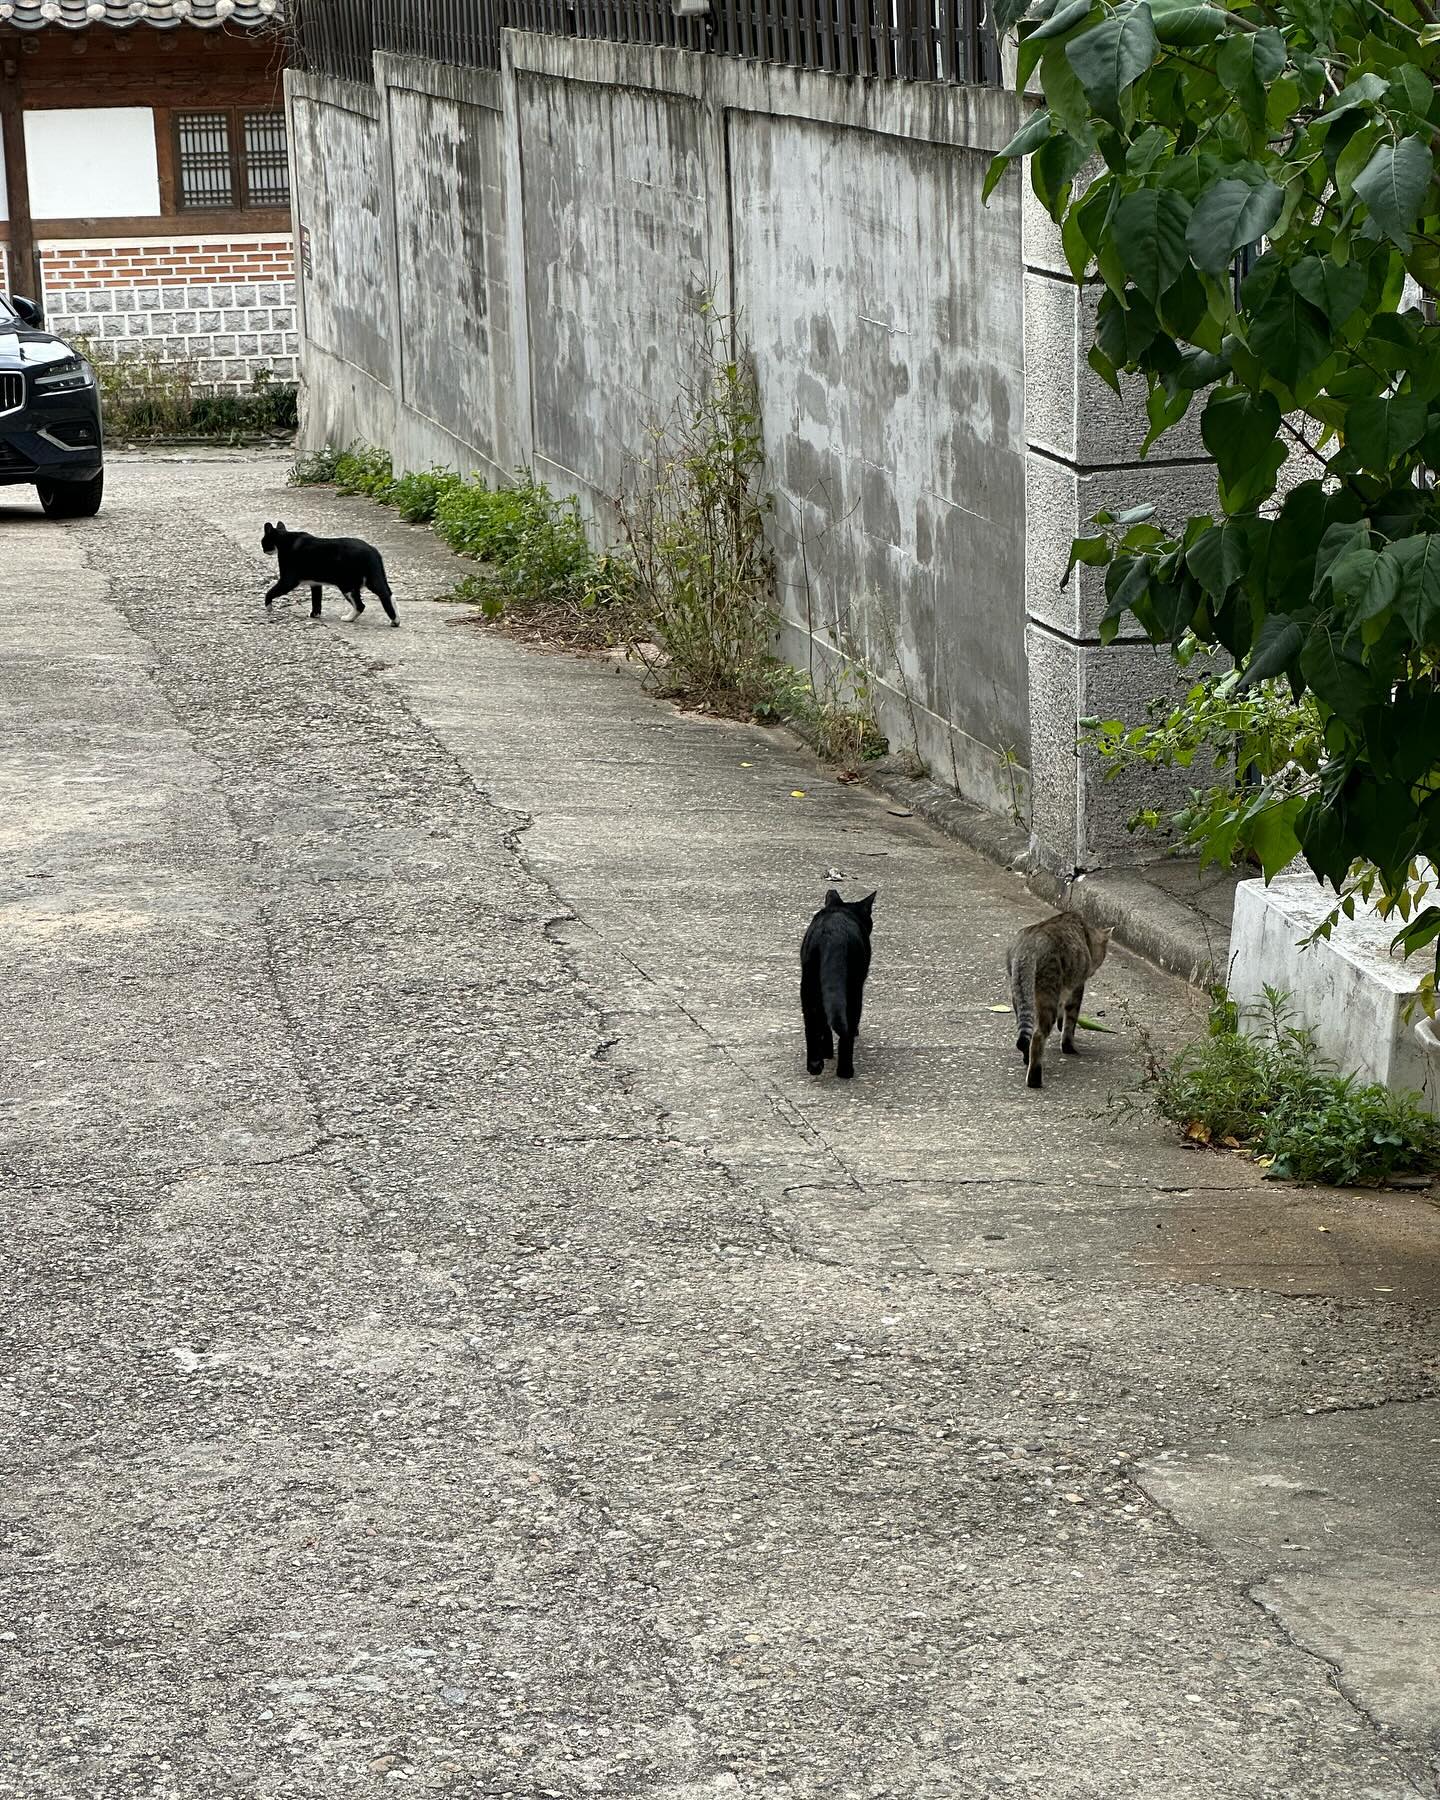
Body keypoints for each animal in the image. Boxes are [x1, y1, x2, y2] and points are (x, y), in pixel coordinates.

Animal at [799, 889, 878, 1072]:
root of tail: (833, 935)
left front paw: (826, 1053)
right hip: (854, 989)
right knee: (846, 1030)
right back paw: (845, 1071)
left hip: (809, 985)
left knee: (813, 1022)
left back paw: (815, 1064)